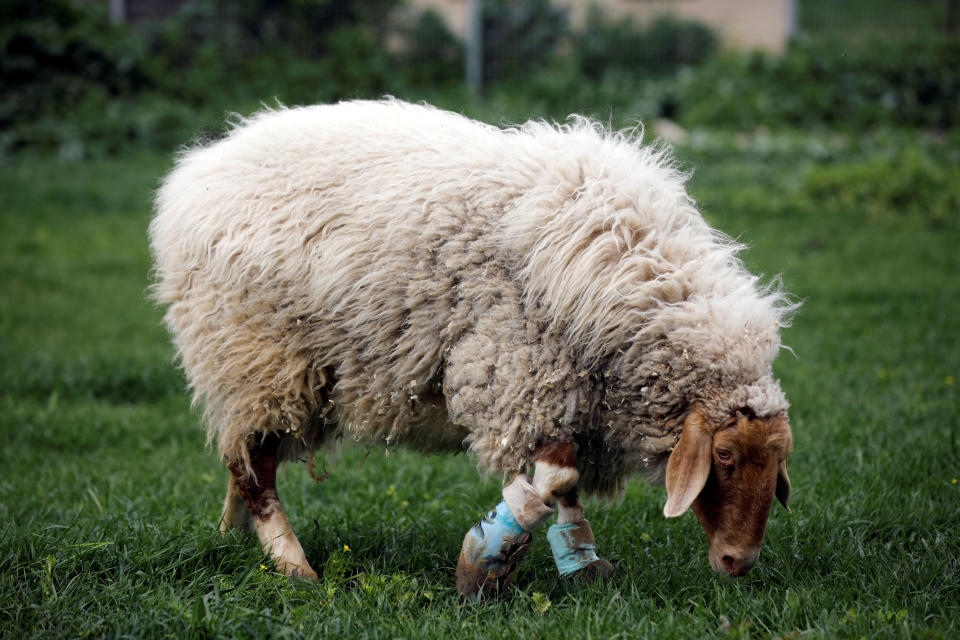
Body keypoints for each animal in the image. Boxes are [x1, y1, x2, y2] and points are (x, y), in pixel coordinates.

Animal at [150, 99, 796, 596]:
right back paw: (293, 566)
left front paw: (581, 562)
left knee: (240, 457)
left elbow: (567, 487)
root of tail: (197, 169)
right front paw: (484, 560)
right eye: (724, 456)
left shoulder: (573, 392)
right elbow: (554, 477)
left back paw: (235, 535)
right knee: (257, 470)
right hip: (257, 360)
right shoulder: (522, 371)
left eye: (779, 461)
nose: (738, 562)